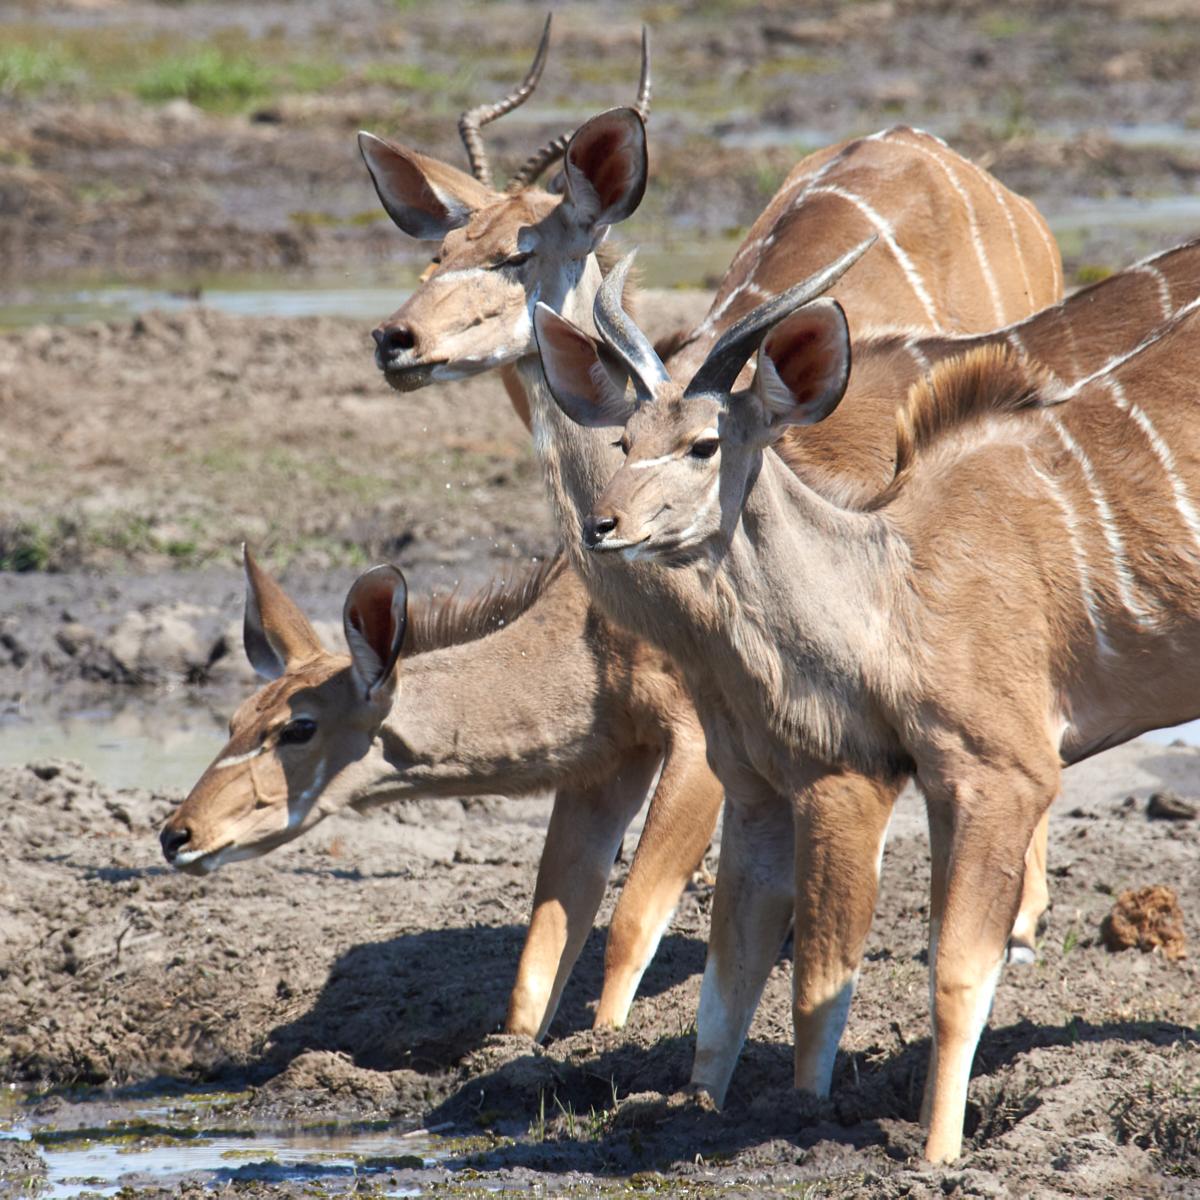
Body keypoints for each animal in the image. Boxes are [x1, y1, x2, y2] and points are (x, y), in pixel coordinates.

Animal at [160, 549, 722, 1042]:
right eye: (235, 720)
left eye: (298, 727)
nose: (176, 835)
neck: (595, 636)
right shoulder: (608, 764)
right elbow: (539, 961)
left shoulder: (697, 737)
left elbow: (629, 923)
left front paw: (603, 1041)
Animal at [532, 236, 1200, 1162]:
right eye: (625, 439)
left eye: (704, 444)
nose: (602, 526)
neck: (893, 590)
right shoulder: (817, 790)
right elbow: (730, 979)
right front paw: (698, 1113)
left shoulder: (1003, 775)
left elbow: (954, 976)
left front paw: (937, 1156)